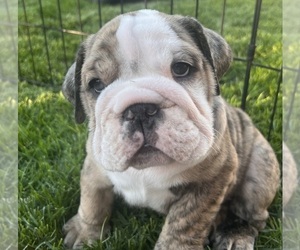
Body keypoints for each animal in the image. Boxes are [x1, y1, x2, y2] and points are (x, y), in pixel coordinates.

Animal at [62, 8, 280, 249]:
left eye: (181, 68)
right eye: (96, 85)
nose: (139, 109)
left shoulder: (212, 179)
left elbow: (185, 222)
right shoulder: (94, 163)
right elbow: (92, 197)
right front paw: (85, 231)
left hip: (260, 172)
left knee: (253, 214)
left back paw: (234, 234)